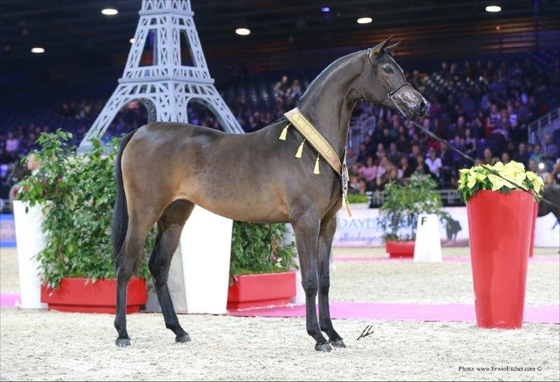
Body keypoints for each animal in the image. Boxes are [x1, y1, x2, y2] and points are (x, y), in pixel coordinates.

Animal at [114, 36, 428, 352]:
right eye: (387, 69)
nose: (422, 105)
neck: (309, 146)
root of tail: (139, 132)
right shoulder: (305, 222)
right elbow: (310, 280)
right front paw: (318, 337)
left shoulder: (328, 224)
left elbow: (325, 280)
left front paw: (333, 334)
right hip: (144, 213)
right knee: (125, 264)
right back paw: (122, 334)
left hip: (175, 215)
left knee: (159, 267)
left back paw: (179, 330)